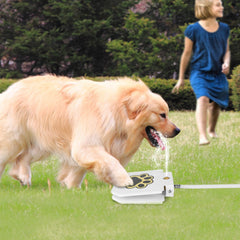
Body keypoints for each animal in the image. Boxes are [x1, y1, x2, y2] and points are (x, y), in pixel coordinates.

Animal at [0, 75, 180, 188]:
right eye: (162, 115)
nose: (177, 130)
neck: (118, 111)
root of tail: (8, 90)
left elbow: (79, 169)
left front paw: (70, 185)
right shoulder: (87, 145)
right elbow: (111, 161)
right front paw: (125, 181)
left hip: (40, 142)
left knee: (22, 158)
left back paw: (23, 178)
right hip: (14, 140)